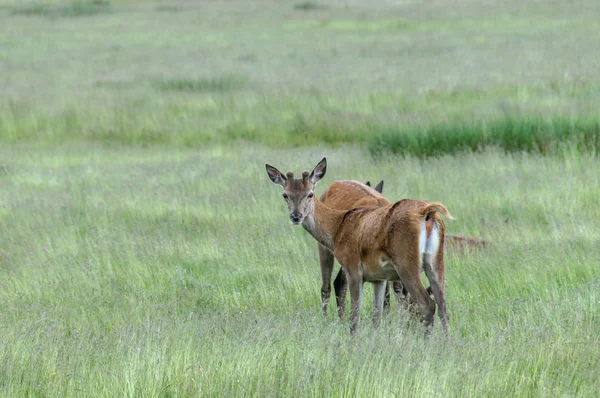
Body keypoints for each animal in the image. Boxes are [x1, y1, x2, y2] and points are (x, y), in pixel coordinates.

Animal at [264, 157, 452, 334]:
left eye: (310, 194)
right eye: (285, 195)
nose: (296, 216)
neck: (337, 228)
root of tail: (427, 213)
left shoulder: (353, 266)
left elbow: (355, 316)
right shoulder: (379, 278)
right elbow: (377, 314)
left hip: (406, 263)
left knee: (427, 304)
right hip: (436, 262)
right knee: (443, 306)